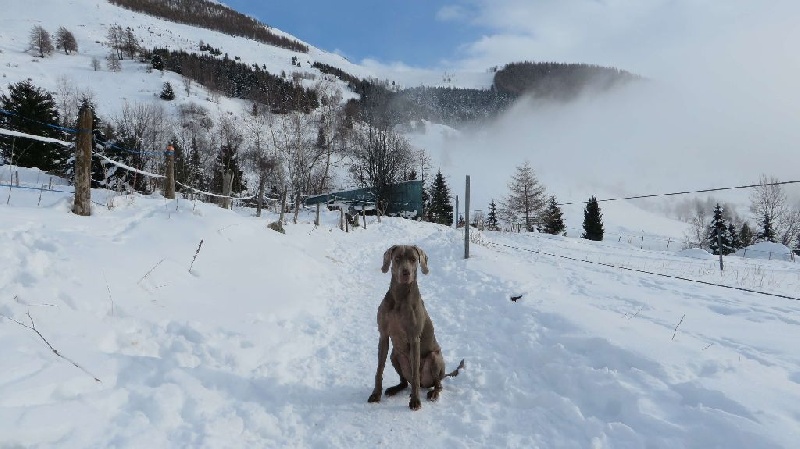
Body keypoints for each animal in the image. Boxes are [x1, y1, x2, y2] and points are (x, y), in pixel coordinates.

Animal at [368, 245, 462, 410]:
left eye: (413, 259)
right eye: (397, 258)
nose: (406, 272)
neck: (399, 297)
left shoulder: (414, 339)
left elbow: (415, 374)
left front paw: (415, 401)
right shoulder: (383, 335)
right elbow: (379, 368)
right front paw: (376, 394)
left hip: (435, 358)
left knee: (435, 384)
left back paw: (432, 393)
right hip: (395, 355)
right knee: (405, 382)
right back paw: (395, 389)